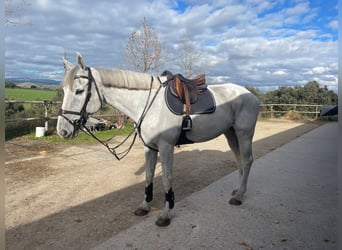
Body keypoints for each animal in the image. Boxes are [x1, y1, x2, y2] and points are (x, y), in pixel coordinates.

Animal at [56, 52, 260, 227]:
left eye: (79, 91)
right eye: (64, 89)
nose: (62, 130)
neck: (148, 104)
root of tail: (250, 95)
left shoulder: (166, 146)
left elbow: (167, 178)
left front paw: (165, 214)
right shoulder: (150, 147)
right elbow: (149, 175)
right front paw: (144, 207)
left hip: (244, 133)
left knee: (248, 160)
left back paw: (239, 196)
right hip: (231, 134)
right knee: (239, 160)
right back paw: (237, 189)